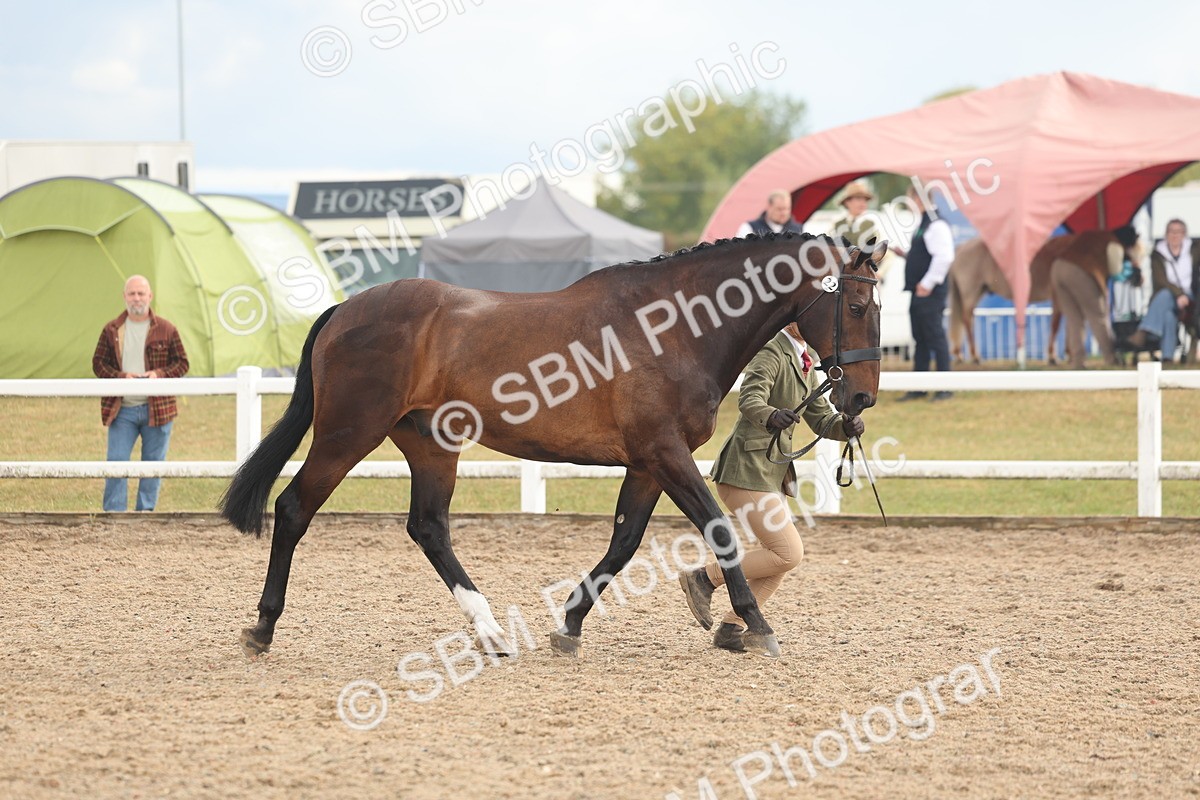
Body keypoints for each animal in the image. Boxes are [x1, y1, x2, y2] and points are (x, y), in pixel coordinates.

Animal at [219, 232, 886, 660]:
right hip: (347, 433)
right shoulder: (665, 454)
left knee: (429, 527)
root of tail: (344, 309)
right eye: (855, 304)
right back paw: (263, 628)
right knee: (294, 509)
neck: (674, 328)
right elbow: (718, 527)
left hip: (431, 445)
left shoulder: (647, 464)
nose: (860, 399)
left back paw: (491, 634)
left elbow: (623, 542)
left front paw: (569, 624)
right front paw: (756, 624)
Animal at [948, 232, 1115, 364]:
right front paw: (1052, 356)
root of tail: (961, 248)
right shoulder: (1057, 296)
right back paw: (974, 356)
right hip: (971, 292)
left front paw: (1068, 354)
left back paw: (961, 355)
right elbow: (1055, 324)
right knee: (966, 319)